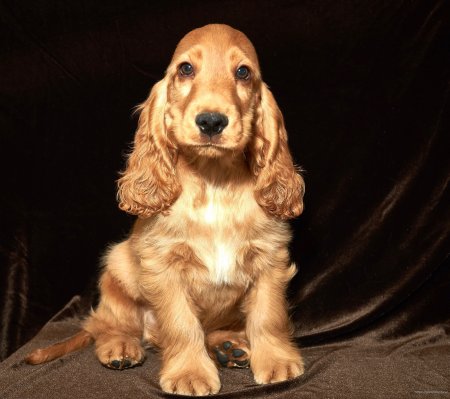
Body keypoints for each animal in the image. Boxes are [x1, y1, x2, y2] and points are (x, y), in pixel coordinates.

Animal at [25, 23, 306, 396]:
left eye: (243, 72)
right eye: (185, 69)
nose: (212, 122)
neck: (213, 180)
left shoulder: (270, 258)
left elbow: (267, 316)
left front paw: (276, 361)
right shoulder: (163, 265)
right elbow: (182, 324)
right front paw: (190, 373)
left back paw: (229, 346)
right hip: (118, 266)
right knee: (106, 323)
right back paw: (121, 347)